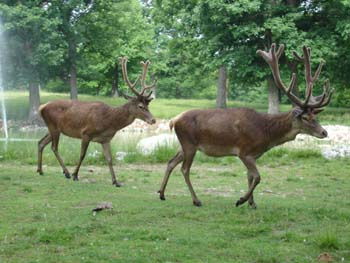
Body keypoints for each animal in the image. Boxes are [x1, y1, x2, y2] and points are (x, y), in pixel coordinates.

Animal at [37, 56, 156, 187]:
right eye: (140, 106)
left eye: (148, 105)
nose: (153, 120)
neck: (109, 122)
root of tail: (42, 107)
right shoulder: (86, 133)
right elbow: (82, 155)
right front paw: (75, 175)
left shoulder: (106, 139)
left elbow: (109, 159)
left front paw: (116, 181)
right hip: (54, 126)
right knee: (54, 147)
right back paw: (66, 172)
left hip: (52, 128)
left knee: (41, 142)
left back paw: (40, 170)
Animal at [158, 43, 334, 208]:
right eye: (305, 117)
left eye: (315, 116)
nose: (324, 132)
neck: (266, 134)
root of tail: (174, 120)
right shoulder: (244, 151)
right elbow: (257, 177)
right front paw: (241, 200)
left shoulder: (254, 155)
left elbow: (250, 176)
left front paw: (252, 203)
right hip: (189, 143)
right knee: (184, 169)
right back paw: (196, 200)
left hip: (184, 144)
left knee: (171, 162)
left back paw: (161, 193)